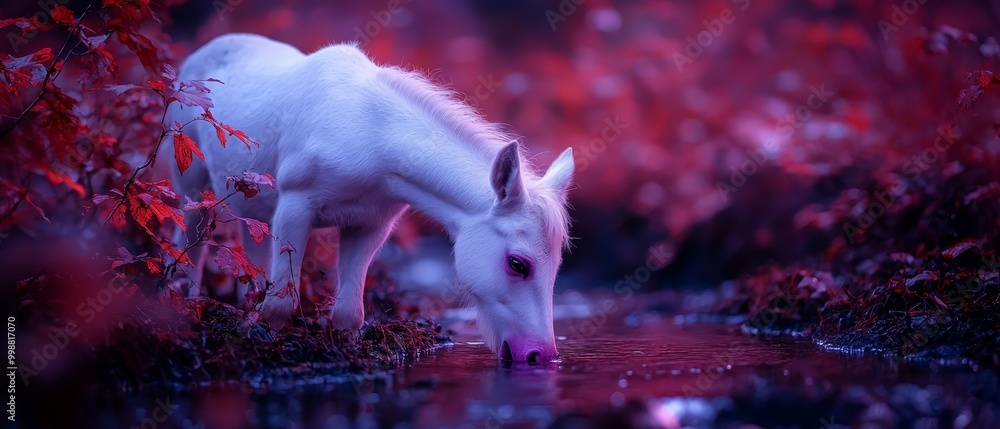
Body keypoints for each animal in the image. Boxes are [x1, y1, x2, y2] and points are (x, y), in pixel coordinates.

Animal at [167, 34, 576, 362]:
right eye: (518, 264)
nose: (540, 355)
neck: (373, 138)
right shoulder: (296, 207)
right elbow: (281, 306)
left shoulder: (368, 226)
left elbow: (349, 313)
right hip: (192, 186)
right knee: (188, 242)